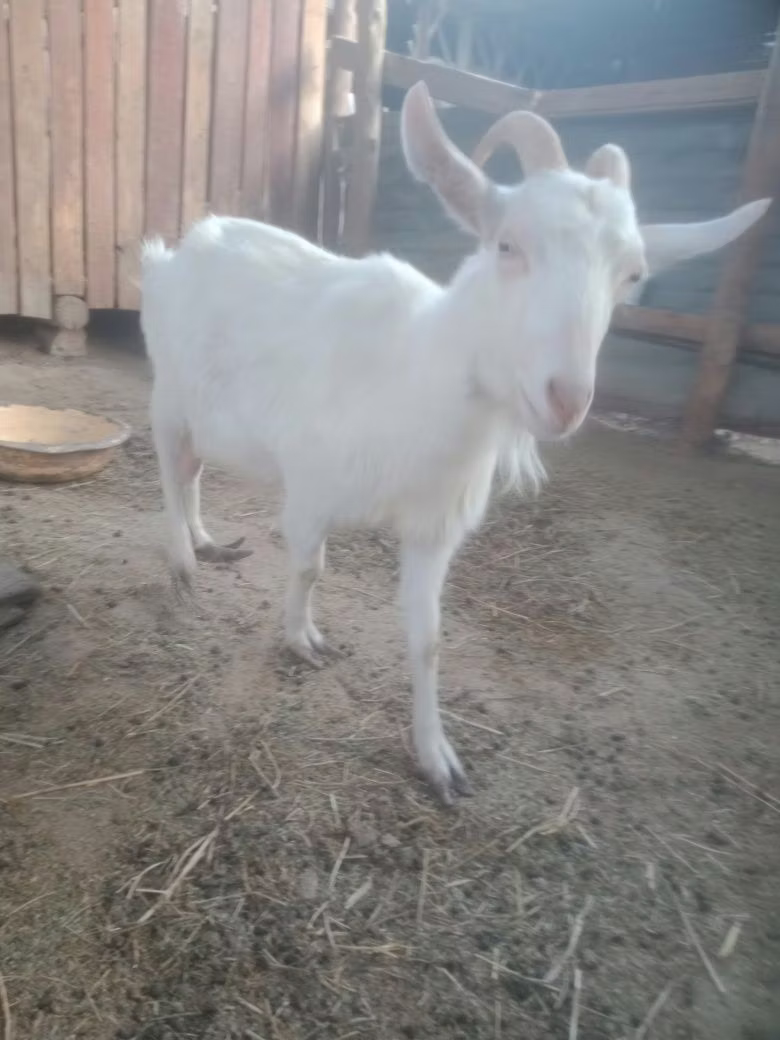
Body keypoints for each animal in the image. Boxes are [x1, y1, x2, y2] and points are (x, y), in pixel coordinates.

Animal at [141, 81, 770, 804]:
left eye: (632, 274)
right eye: (507, 244)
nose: (566, 397)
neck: (414, 377)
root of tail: (183, 246)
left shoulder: (434, 528)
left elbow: (430, 640)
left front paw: (437, 758)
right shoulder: (311, 490)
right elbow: (308, 567)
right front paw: (302, 639)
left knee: (192, 470)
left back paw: (206, 541)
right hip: (167, 390)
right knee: (169, 468)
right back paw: (182, 564)